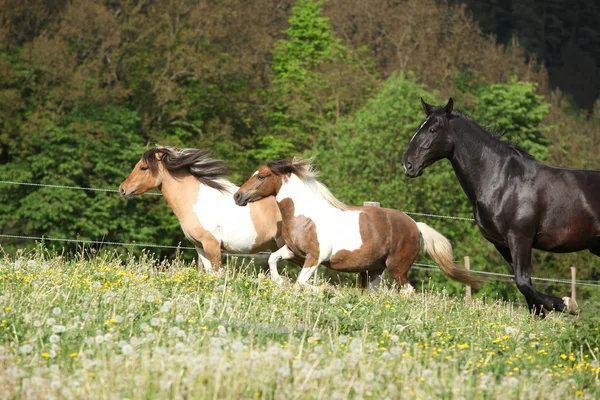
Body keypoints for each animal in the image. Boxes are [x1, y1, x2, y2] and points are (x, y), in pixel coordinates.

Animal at [234, 157, 482, 290]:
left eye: (261, 176)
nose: (238, 196)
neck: (306, 216)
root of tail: (415, 225)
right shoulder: (295, 252)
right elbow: (273, 259)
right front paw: (279, 281)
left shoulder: (315, 257)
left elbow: (302, 283)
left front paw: (324, 289)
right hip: (375, 270)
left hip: (397, 267)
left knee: (408, 291)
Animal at [400, 97, 600, 316]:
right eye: (419, 127)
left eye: (433, 129)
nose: (407, 164)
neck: (504, 181)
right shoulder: (503, 244)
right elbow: (526, 287)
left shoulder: (520, 238)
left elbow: (523, 281)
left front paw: (565, 304)